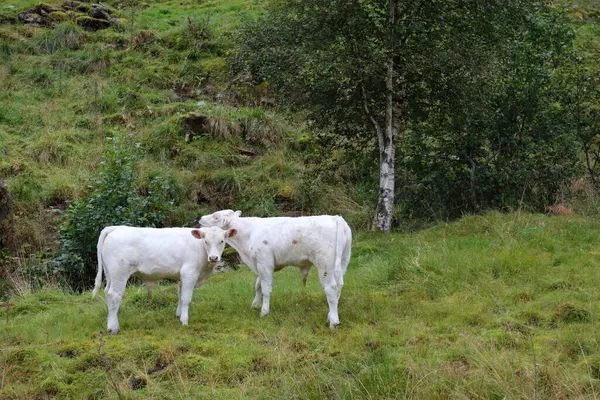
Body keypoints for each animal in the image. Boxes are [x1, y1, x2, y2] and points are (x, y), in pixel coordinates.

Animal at [92, 225, 236, 334]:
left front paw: (178, 315)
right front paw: (185, 321)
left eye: (222, 241)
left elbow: (180, 295)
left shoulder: (182, 276)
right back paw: (113, 328)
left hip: (110, 274)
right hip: (119, 273)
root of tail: (116, 228)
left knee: (107, 293)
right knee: (114, 295)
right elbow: (186, 299)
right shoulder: (189, 273)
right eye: (206, 241)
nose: (214, 257)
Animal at [199, 211, 352, 326]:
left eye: (216, 216)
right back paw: (331, 314)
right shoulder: (260, 264)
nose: (201, 218)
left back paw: (333, 321)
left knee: (331, 288)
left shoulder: (264, 262)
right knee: (339, 286)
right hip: (343, 261)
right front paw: (255, 305)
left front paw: (264, 311)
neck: (248, 234)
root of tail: (335, 217)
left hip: (324, 263)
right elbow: (258, 285)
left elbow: (265, 288)